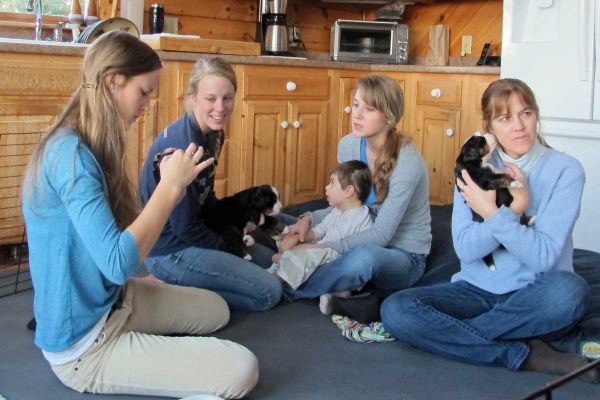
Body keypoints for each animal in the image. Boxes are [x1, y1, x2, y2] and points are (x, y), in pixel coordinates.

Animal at [454, 134, 536, 268]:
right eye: (481, 140)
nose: (491, 134)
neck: (470, 161)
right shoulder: (487, 179)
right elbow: (502, 176)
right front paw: (516, 182)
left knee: (522, 219)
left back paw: (532, 219)